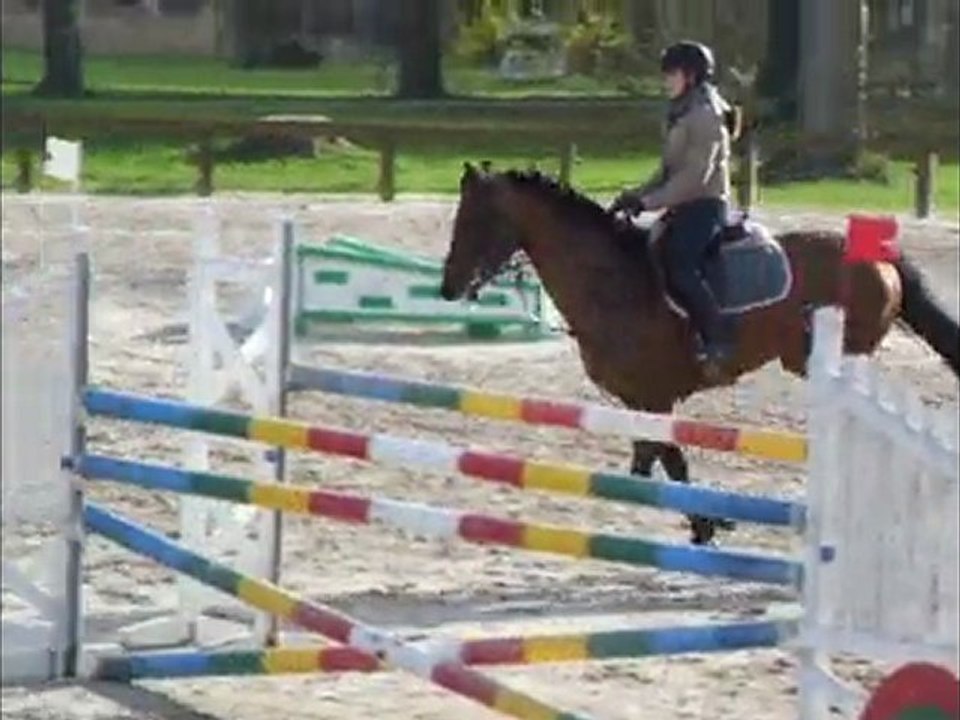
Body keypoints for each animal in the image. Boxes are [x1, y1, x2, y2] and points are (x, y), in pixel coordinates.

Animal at [439, 163, 959, 545]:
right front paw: (706, 523)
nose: (448, 288)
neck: (610, 282)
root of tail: (881, 258)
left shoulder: (653, 398)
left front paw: (708, 522)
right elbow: (667, 461)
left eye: (478, 220)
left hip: (819, 355)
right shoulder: (643, 401)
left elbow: (661, 460)